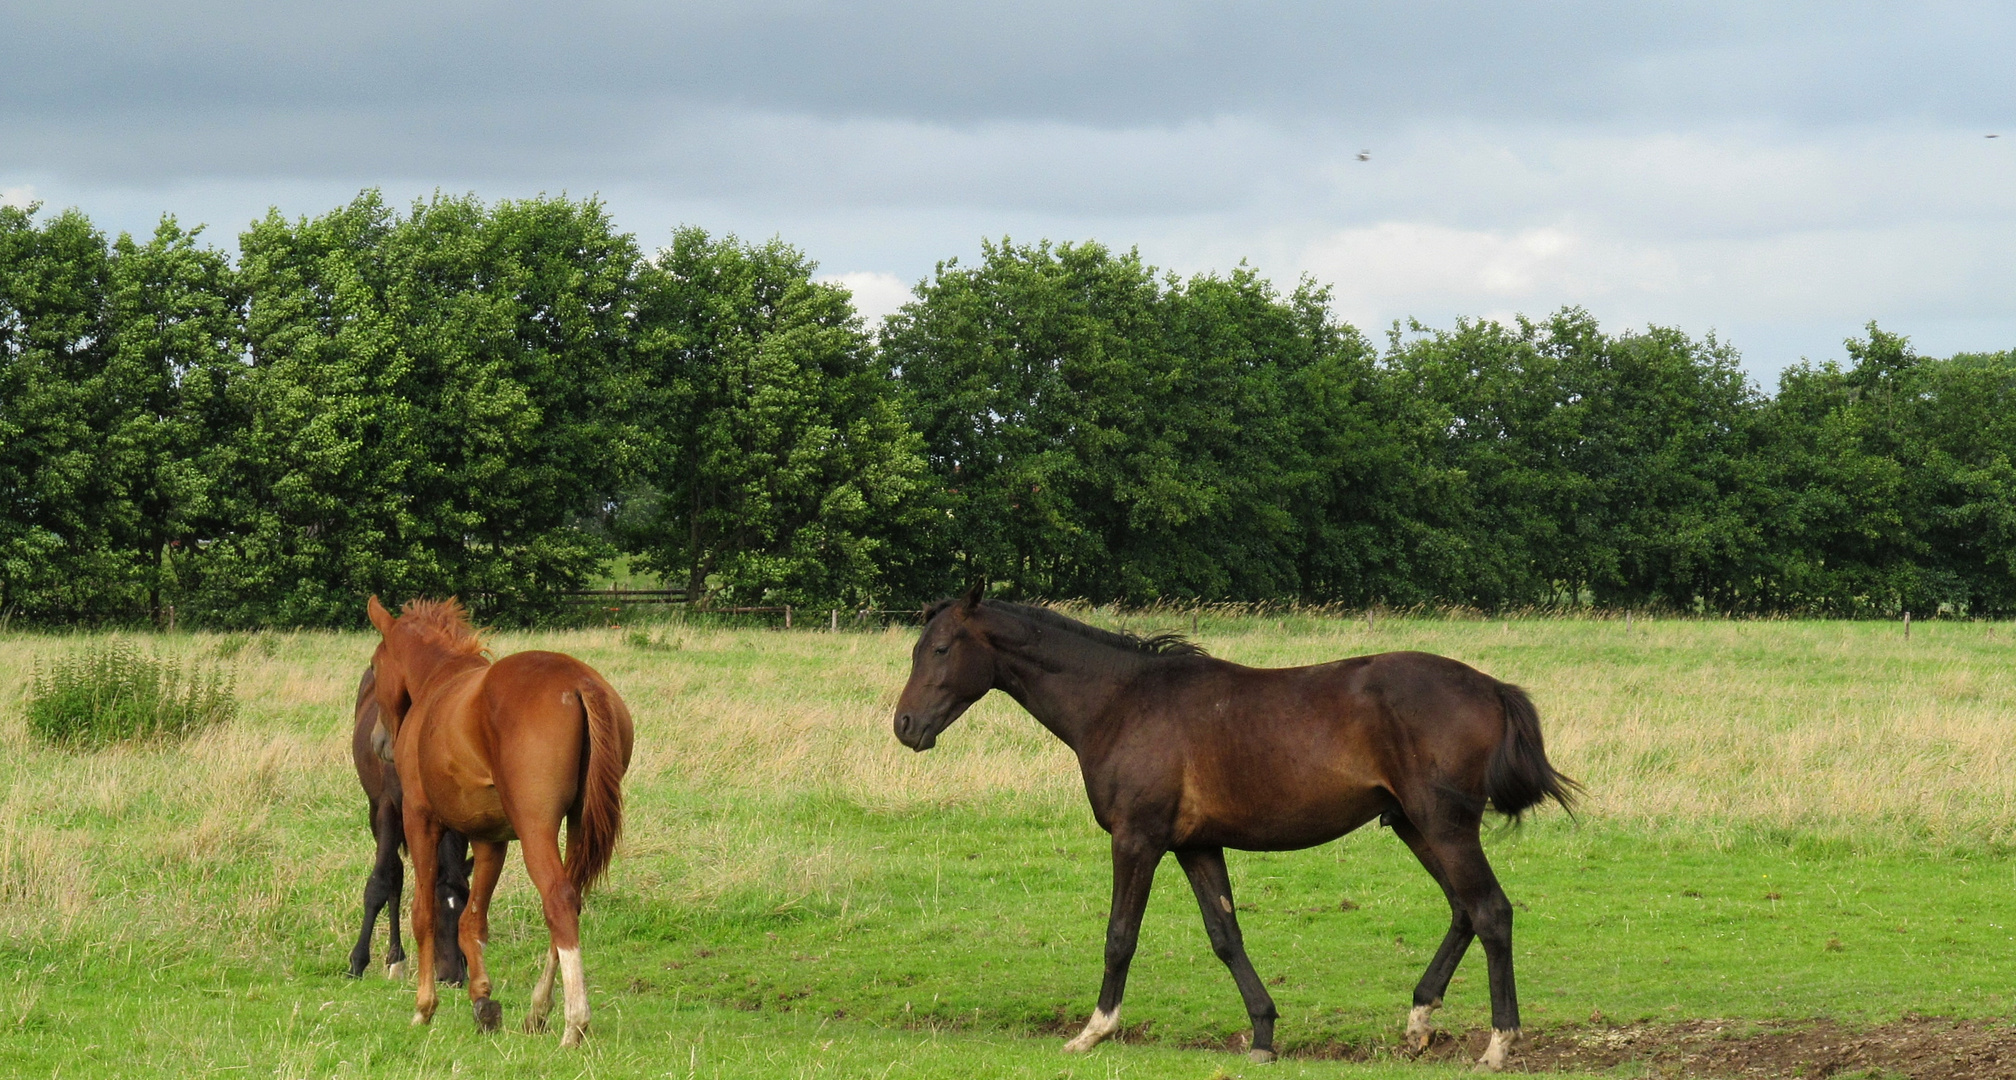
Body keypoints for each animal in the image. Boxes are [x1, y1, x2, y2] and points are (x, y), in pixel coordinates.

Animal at [348, 660, 473, 983]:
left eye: (465, 909)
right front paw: (357, 961)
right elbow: (381, 882)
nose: (453, 976)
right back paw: (395, 959)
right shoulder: (390, 809)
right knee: (395, 874)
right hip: (376, 810)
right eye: (436, 912)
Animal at [368, 596, 628, 1039]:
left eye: (374, 663)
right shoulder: (491, 839)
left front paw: (424, 1007)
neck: (438, 682)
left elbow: (424, 913)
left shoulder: (420, 819)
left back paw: (574, 1023)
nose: (379, 742)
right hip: (579, 825)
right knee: (572, 901)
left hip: (536, 828)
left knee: (559, 900)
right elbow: (472, 921)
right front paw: (482, 1000)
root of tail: (580, 683)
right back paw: (538, 1010)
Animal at [895, 592, 1572, 1071]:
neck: (1123, 702)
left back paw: (1498, 1044)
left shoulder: (1137, 840)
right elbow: (1225, 936)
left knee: (1491, 911)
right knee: (1463, 910)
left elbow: (1120, 936)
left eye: (941, 650)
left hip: (1443, 826)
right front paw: (1263, 1034)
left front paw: (1094, 1031)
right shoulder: (1196, 845)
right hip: (1414, 825)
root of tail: (1492, 687)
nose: (905, 726)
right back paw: (1419, 1021)